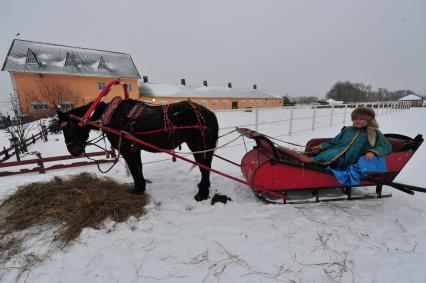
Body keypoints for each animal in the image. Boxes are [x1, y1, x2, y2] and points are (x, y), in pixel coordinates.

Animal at [57, 100, 220, 202]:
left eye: (68, 126)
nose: (72, 150)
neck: (112, 115)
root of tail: (208, 113)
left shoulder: (125, 149)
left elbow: (134, 169)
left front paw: (138, 189)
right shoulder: (135, 148)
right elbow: (138, 167)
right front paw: (142, 185)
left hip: (198, 145)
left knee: (204, 168)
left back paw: (202, 194)